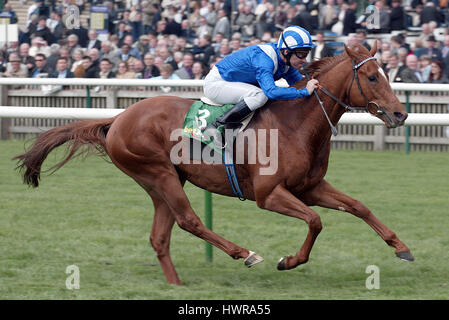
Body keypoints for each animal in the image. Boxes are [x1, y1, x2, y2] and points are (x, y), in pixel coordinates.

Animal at [14, 44, 412, 284]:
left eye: (387, 74)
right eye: (372, 77)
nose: (400, 113)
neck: (296, 124)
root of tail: (118, 118)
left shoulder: (310, 187)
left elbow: (358, 206)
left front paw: (401, 246)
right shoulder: (269, 194)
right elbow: (315, 221)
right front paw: (288, 260)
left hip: (162, 182)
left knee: (160, 235)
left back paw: (175, 284)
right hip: (158, 172)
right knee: (189, 221)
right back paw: (245, 253)